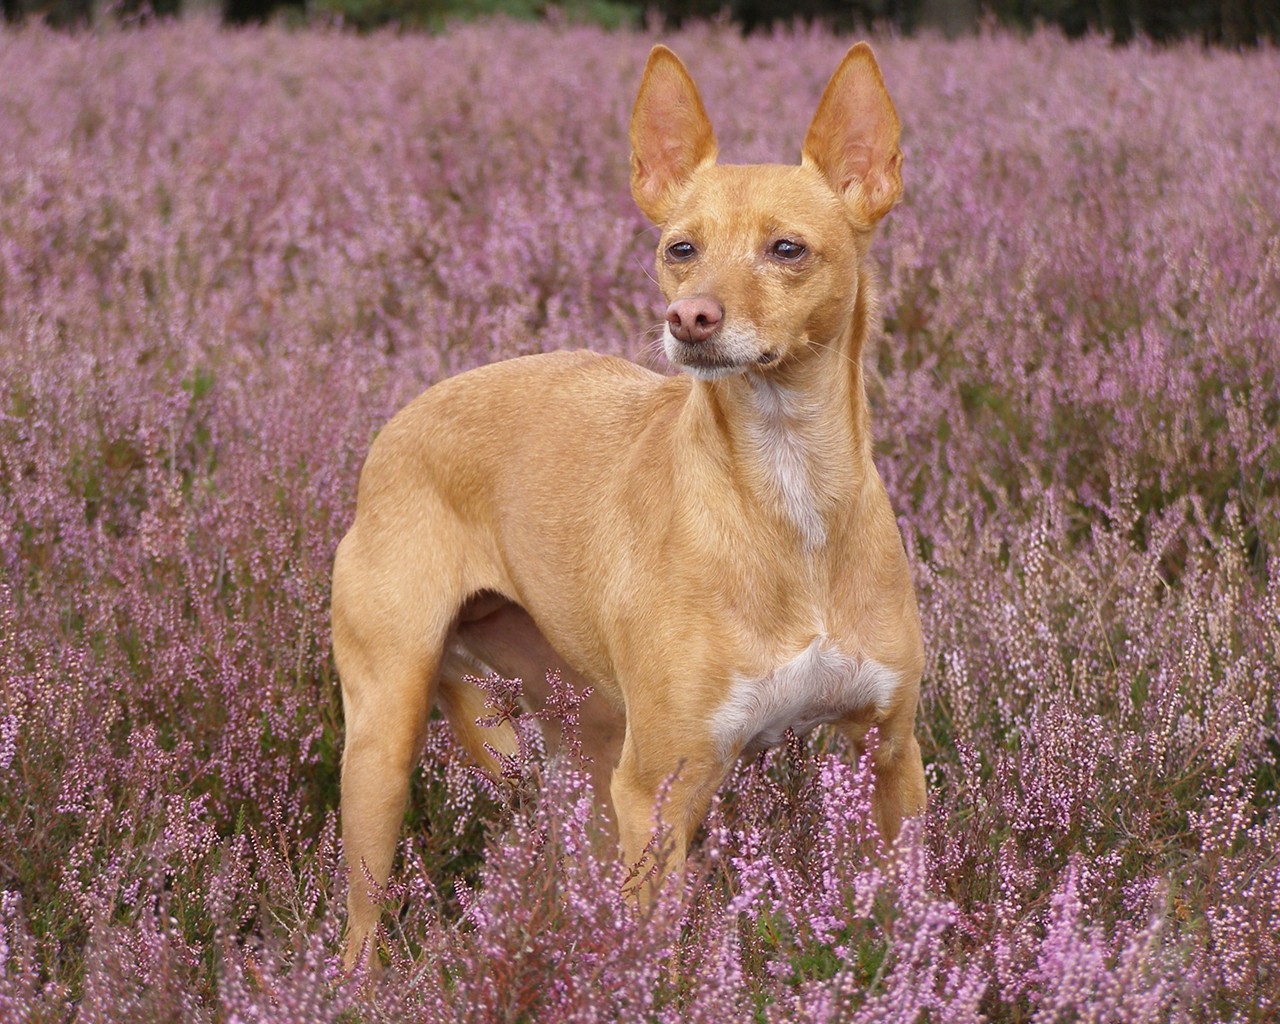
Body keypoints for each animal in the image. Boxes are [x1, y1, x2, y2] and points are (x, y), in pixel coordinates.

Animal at [335, 40, 926, 967]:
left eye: (787, 249)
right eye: (679, 248)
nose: (690, 318)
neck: (787, 492)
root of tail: (397, 425)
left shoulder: (892, 752)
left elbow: (910, 904)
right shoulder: (661, 789)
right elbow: (657, 969)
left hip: (589, 742)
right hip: (385, 745)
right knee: (362, 919)